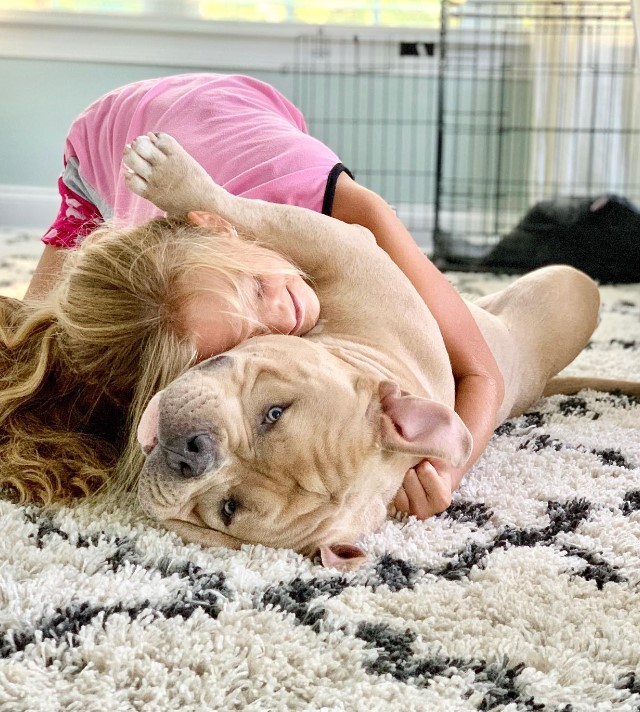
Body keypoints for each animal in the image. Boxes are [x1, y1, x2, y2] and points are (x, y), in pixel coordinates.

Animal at [122, 132, 632, 572]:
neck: (358, 352)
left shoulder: (330, 239)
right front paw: (176, 177)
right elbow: (251, 211)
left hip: (563, 293)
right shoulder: (339, 244)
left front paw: (167, 175)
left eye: (228, 509)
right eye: (275, 413)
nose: (193, 451)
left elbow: (250, 210)